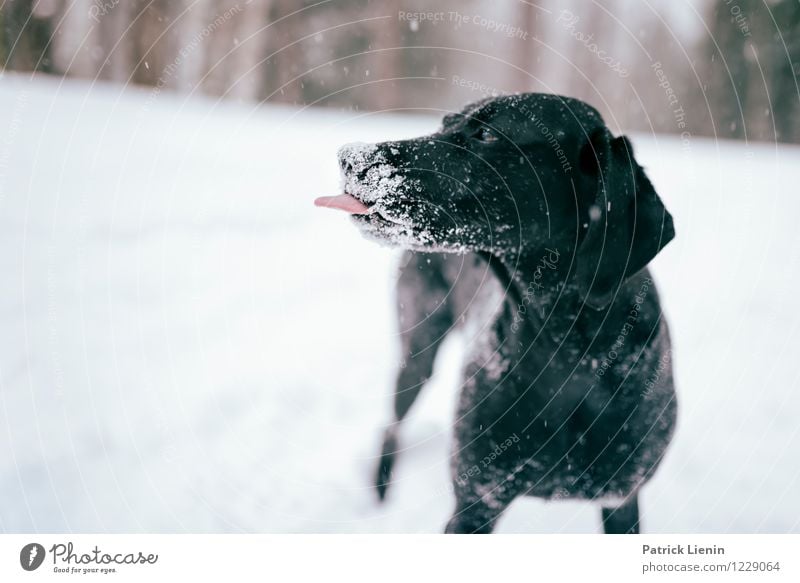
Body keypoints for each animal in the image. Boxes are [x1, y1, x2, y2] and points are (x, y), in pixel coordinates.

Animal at [316, 94, 680, 532]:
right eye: (445, 123)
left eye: (487, 135)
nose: (348, 157)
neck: (567, 347)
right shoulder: (475, 502)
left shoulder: (622, 499)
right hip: (418, 349)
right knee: (392, 425)